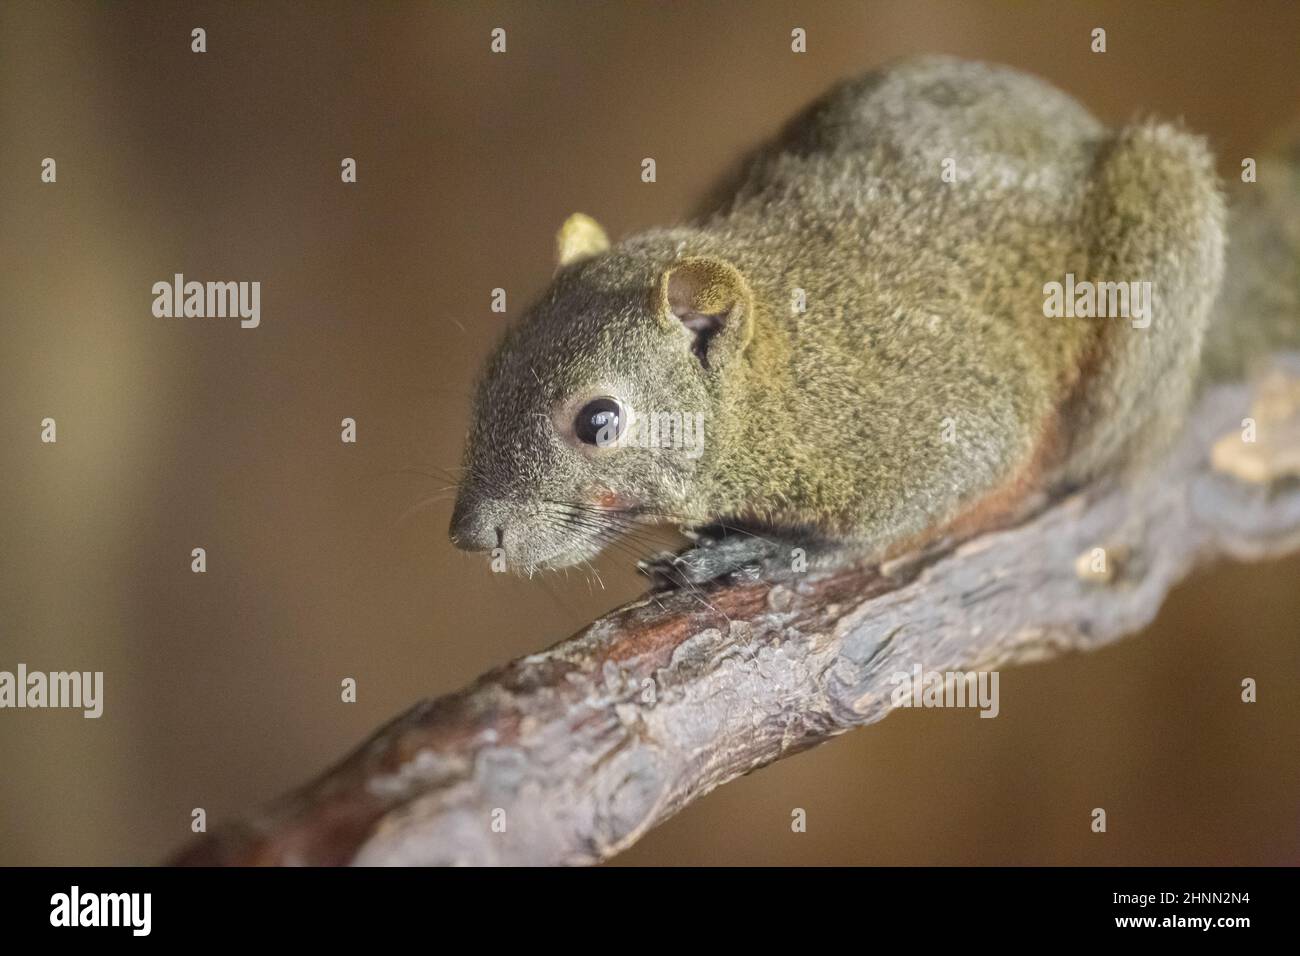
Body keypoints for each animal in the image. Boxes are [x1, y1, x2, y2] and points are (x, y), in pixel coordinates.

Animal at [449, 61, 1300, 582]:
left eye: (599, 421)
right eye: (484, 384)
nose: (471, 534)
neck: (785, 375)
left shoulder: (927, 421)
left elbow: (908, 506)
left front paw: (765, 553)